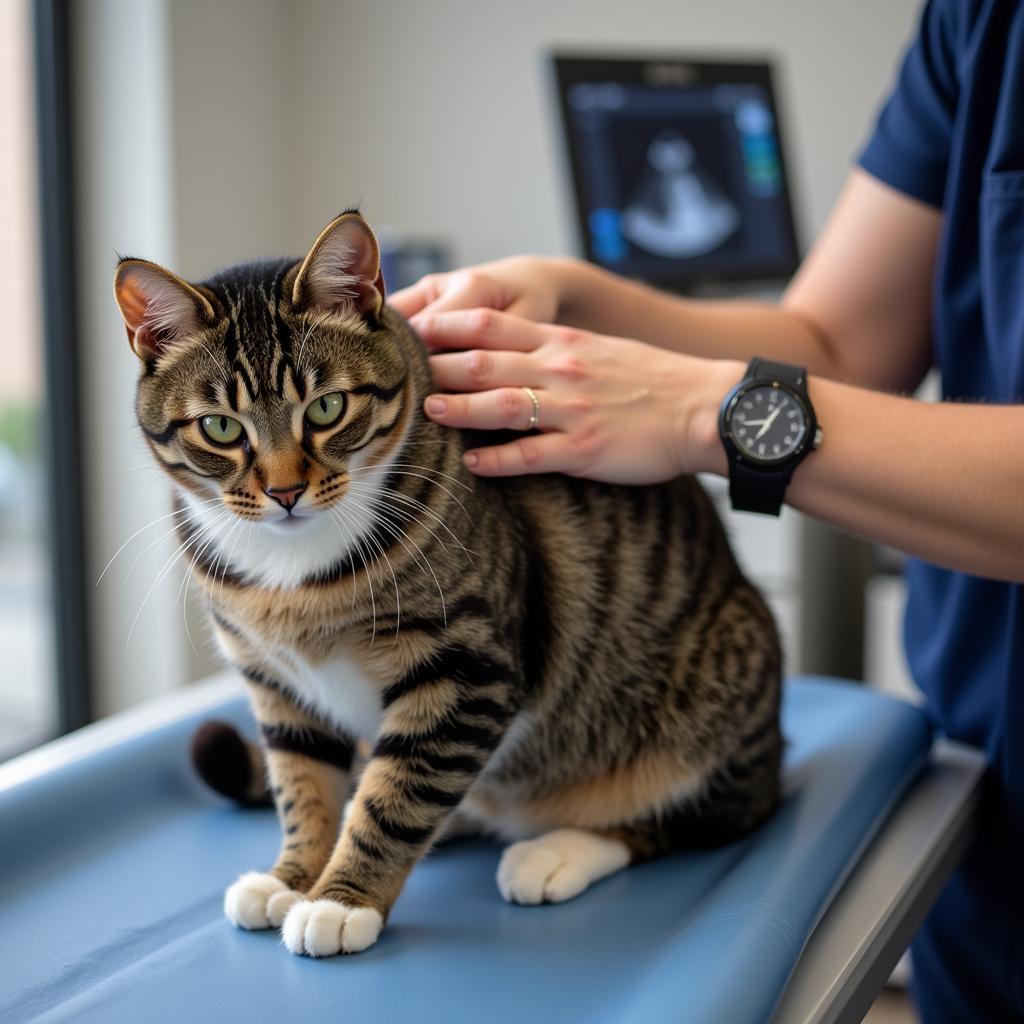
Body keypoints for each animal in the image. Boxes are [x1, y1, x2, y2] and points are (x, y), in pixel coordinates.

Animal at [114, 211, 782, 954]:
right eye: (221, 427)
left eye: (327, 409)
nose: (285, 492)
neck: (292, 569)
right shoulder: (279, 688)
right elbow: (302, 784)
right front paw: (294, 876)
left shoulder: (464, 668)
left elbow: (400, 796)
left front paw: (341, 900)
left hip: (717, 691)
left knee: (695, 818)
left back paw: (556, 851)